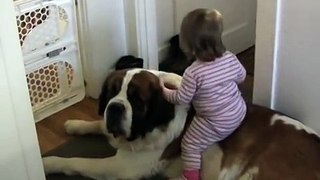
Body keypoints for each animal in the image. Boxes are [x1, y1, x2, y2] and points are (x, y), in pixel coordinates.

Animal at [43, 68, 320, 179]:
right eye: (110, 93)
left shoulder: (123, 167)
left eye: (136, 99)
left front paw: (46, 163)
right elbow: (99, 125)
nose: (115, 108)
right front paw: (75, 124)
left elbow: (77, 162)